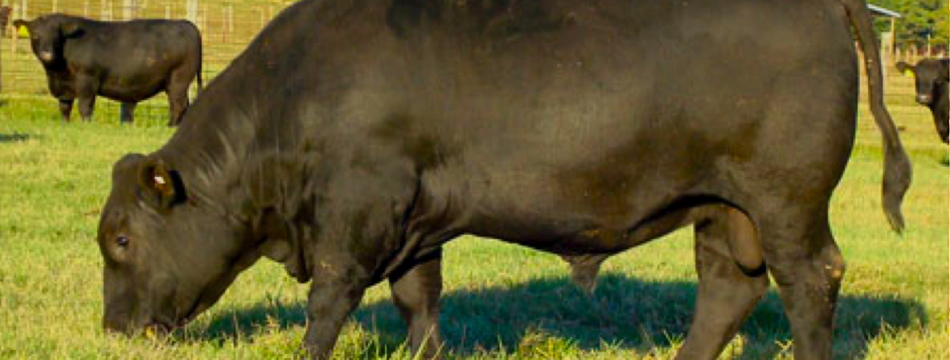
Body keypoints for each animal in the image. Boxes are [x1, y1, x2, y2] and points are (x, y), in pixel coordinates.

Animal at [12, 14, 203, 125]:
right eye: (35, 35)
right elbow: (64, 107)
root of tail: (185, 23)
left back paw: (170, 126)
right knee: (182, 105)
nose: (47, 53)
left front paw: (86, 126)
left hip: (179, 79)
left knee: (178, 105)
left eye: (56, 36)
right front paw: (65, 125)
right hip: (174, 83)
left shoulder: (87, 78)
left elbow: (85, 105)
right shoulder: (64, 86)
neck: (57, 72)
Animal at [98, 0, 916, 360]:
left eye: (121, 240)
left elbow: (329, 304)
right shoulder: (415, 221)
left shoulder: (359, 212)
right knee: (727, 292)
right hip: (721, 207)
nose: (112, 328)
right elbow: (417, 301)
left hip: (785, 202)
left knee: (810, 281)